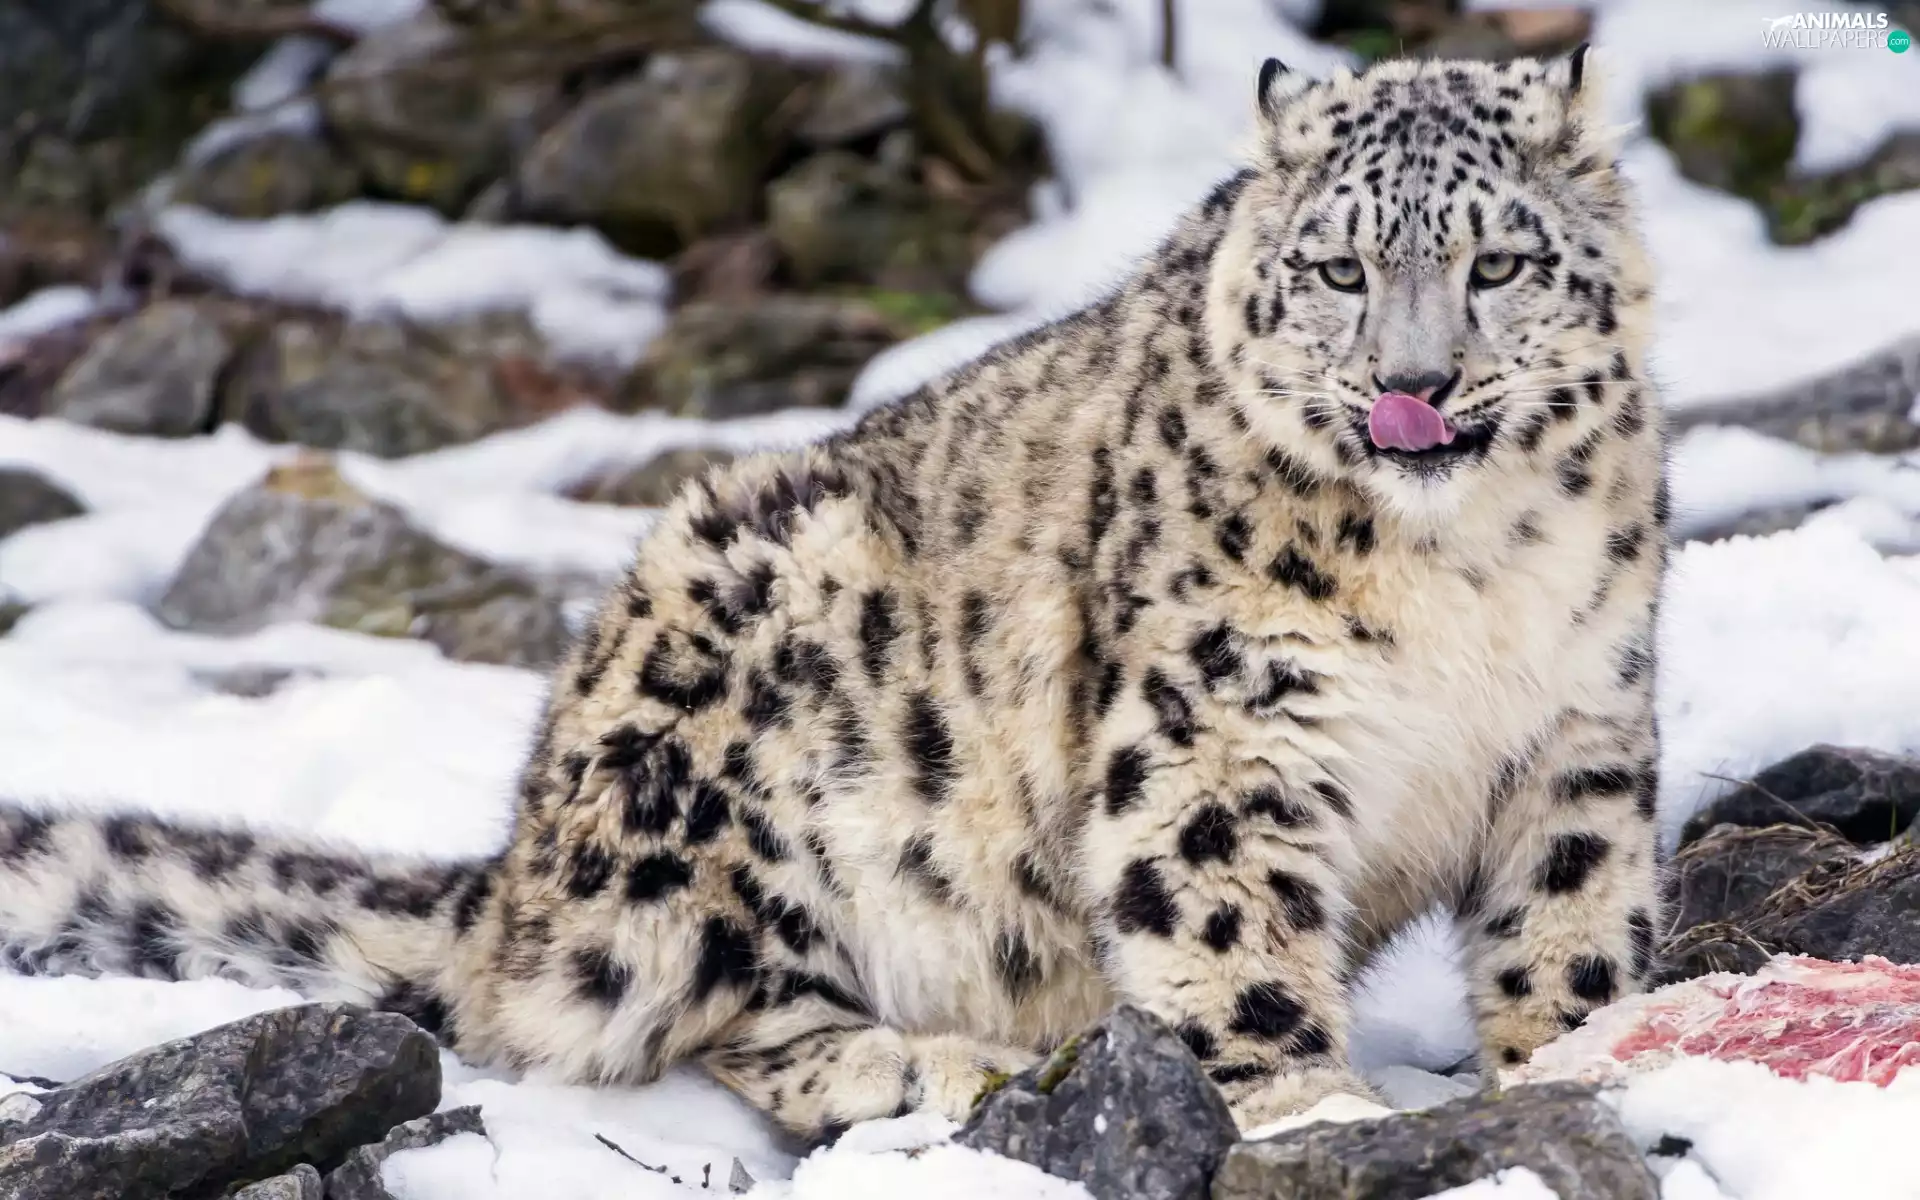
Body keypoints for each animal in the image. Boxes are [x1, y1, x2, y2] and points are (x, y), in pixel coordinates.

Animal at [0, 46, 1668, 1144]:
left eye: (1501, 263)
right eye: (1335, 272)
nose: (1413, 386)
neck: (1466, 580)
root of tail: (517, 870)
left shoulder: (1582, 724)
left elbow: (1572, 913)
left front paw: (1581, 1060)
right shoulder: (1218, 735)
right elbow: (1230, 925)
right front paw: (1316, 1106)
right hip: (729, 744)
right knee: (682, 1014)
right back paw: (926, 1066)